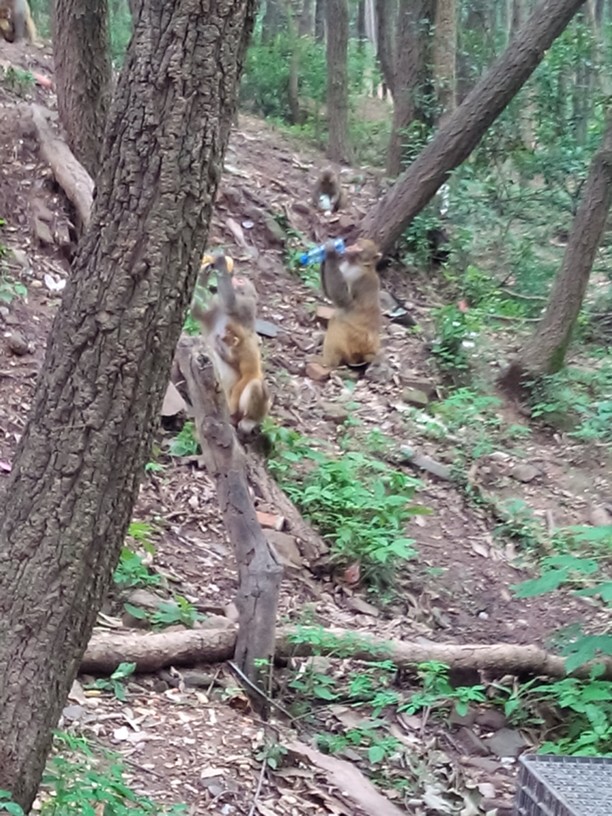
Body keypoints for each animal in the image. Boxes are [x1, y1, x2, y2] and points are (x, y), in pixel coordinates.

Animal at [190, 255, 268, 434]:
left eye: (240, 281)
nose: (234, 276)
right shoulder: (214, 308)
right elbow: (197, 311)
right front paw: (204, 270)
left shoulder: (245, 305)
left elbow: (231, 303)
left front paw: (220, 262)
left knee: (256, 385)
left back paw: (249, 420)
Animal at [320, 237, 382, 368]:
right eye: (359, 240)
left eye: (361, 244)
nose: (358, 238)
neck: (354, 263)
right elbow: (330, 295)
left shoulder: (359, 278)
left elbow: (345, 301)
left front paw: (331, 253)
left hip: (357, 338)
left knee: (337, 322)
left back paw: (327, 362)